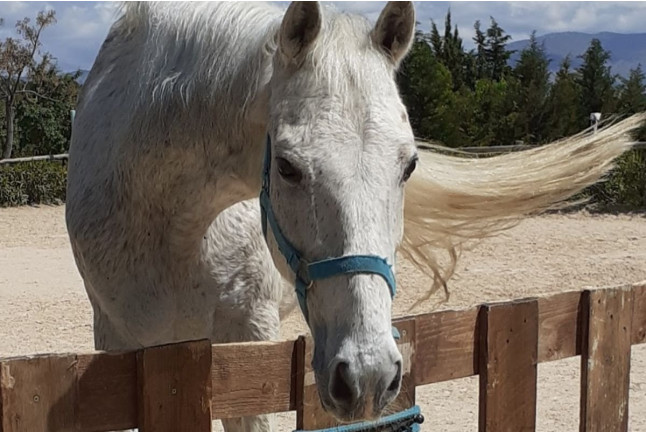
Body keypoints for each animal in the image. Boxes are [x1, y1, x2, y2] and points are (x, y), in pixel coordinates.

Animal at [65, 1, 645, 431]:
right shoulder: (116, 347)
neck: (172, 232)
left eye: (409, 165)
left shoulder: (245, 346)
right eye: (287, 166)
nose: (368, 376)